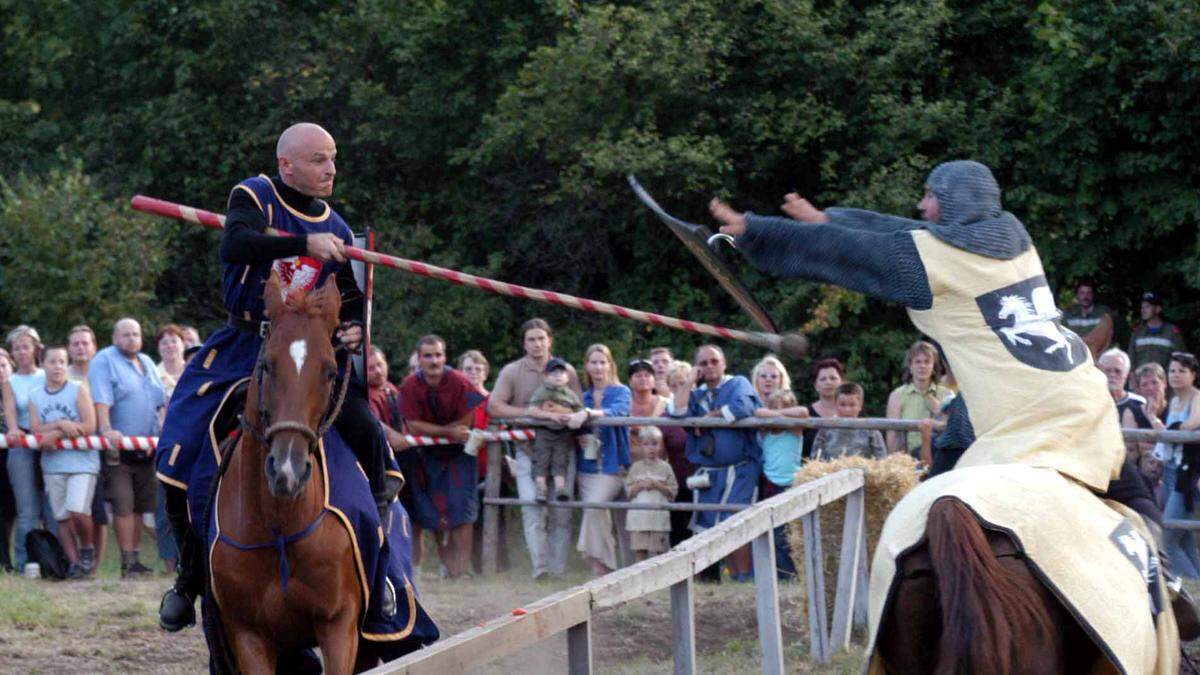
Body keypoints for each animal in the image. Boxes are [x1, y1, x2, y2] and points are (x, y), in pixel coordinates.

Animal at [208, 273, 362, 672]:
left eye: (330, 371)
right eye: (267, 366)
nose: (287, 470)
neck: (279, 526)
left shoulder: (340, 625)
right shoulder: (247, 635)